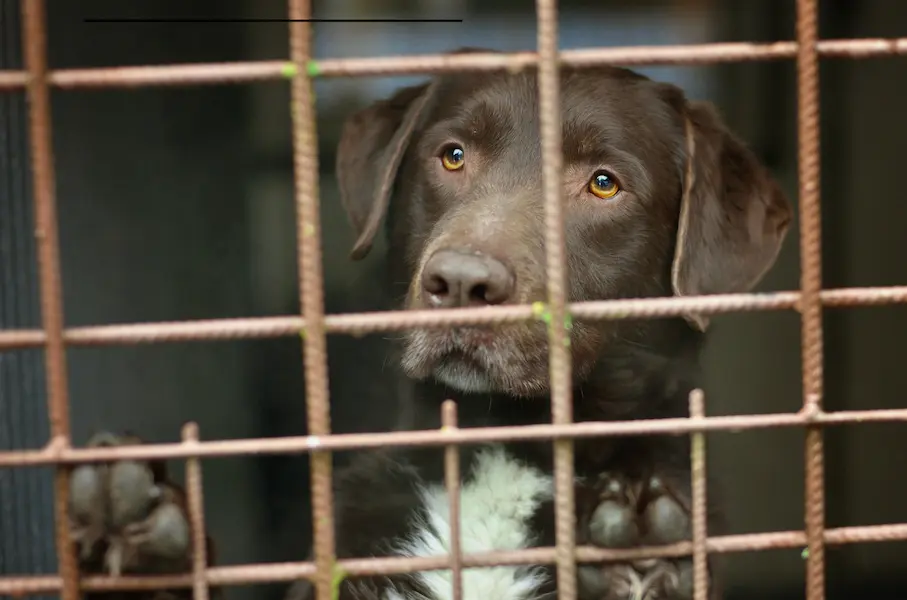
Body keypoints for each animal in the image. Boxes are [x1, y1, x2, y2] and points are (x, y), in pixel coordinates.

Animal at [65, 48, 788, 600]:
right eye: (452, 155)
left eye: (604, 183)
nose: (462, 281)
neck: (500, 443)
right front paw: (132, 534)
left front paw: (640, 556)